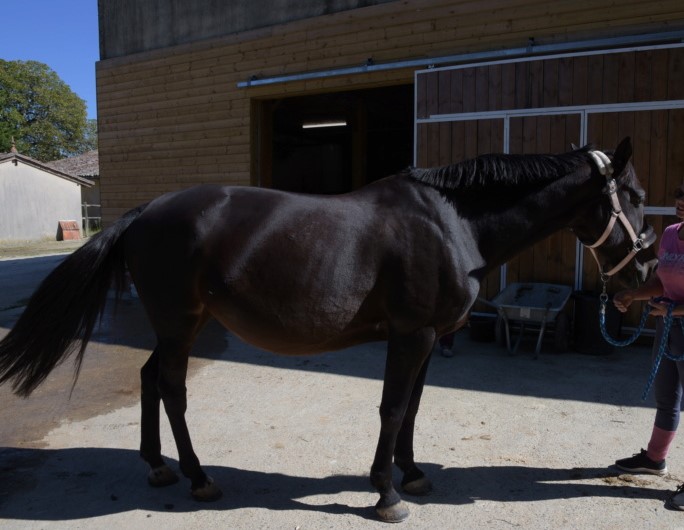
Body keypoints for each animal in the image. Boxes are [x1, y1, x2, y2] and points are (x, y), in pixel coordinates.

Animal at [0, 136, 656, 520]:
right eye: (635, 194)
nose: (645, 273)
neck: (451, 223)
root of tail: (144, 213)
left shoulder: (427, 339)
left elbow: (414, 408)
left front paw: (414, 475)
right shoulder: (411, 335)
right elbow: (393, 408)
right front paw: (387, 494)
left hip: (175, 325)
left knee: (147, 378)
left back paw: (158, 466)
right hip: (181, 324)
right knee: (171, 388)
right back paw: (198, 478)